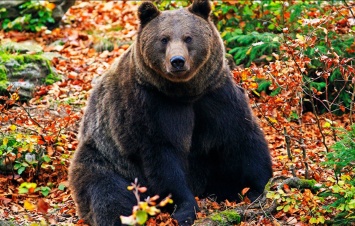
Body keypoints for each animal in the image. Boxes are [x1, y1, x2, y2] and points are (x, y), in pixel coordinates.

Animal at [69, 0, 274, 225]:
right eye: (164, 39)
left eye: (188, 37)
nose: (177, 61)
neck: (184, 93)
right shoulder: (149, 106)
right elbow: (162, 156)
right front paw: (184, 209)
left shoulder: (214, 96)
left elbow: (241, 138)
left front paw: (258, 186)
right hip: (104, 156)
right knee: (107, 192)